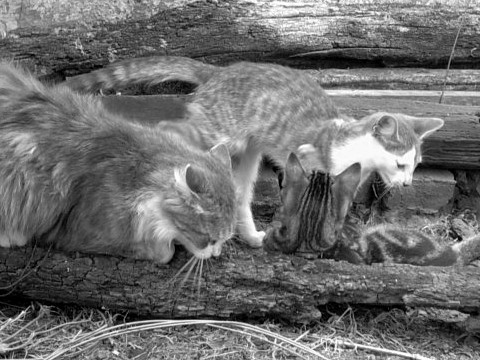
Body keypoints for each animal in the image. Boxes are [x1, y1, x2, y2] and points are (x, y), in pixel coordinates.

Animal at [65, 55, 444, 248]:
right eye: (400, 164)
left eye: (414, 166)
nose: (408, 184)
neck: (354, 154)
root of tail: (223, 70)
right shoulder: (305, 159)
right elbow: (299, 197)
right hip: (218, 131)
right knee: (171, 128)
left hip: (247, 153)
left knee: (241, 191)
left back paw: (249, 236)